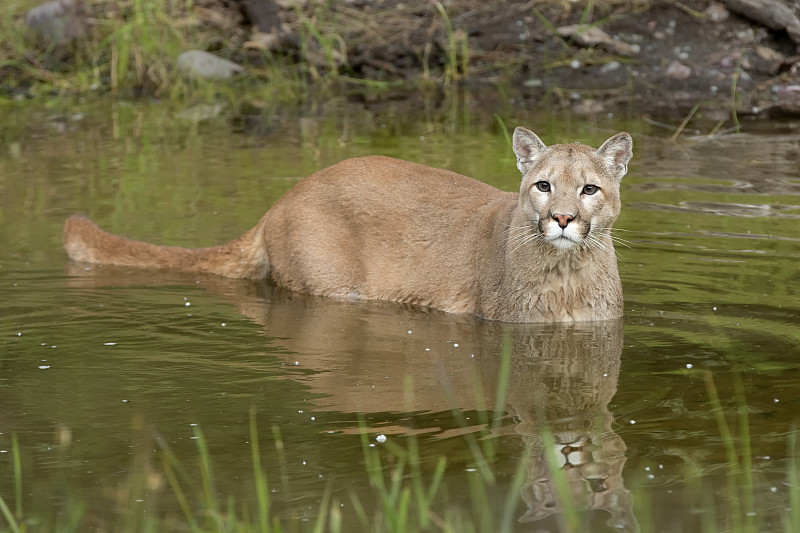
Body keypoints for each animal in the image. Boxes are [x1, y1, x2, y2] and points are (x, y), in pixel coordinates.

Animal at [64, 127, 632, 322]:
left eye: (589, 189)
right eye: (543, 186)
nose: (562, 218)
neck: (567, 277)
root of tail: (284, 198)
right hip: (332, 287)